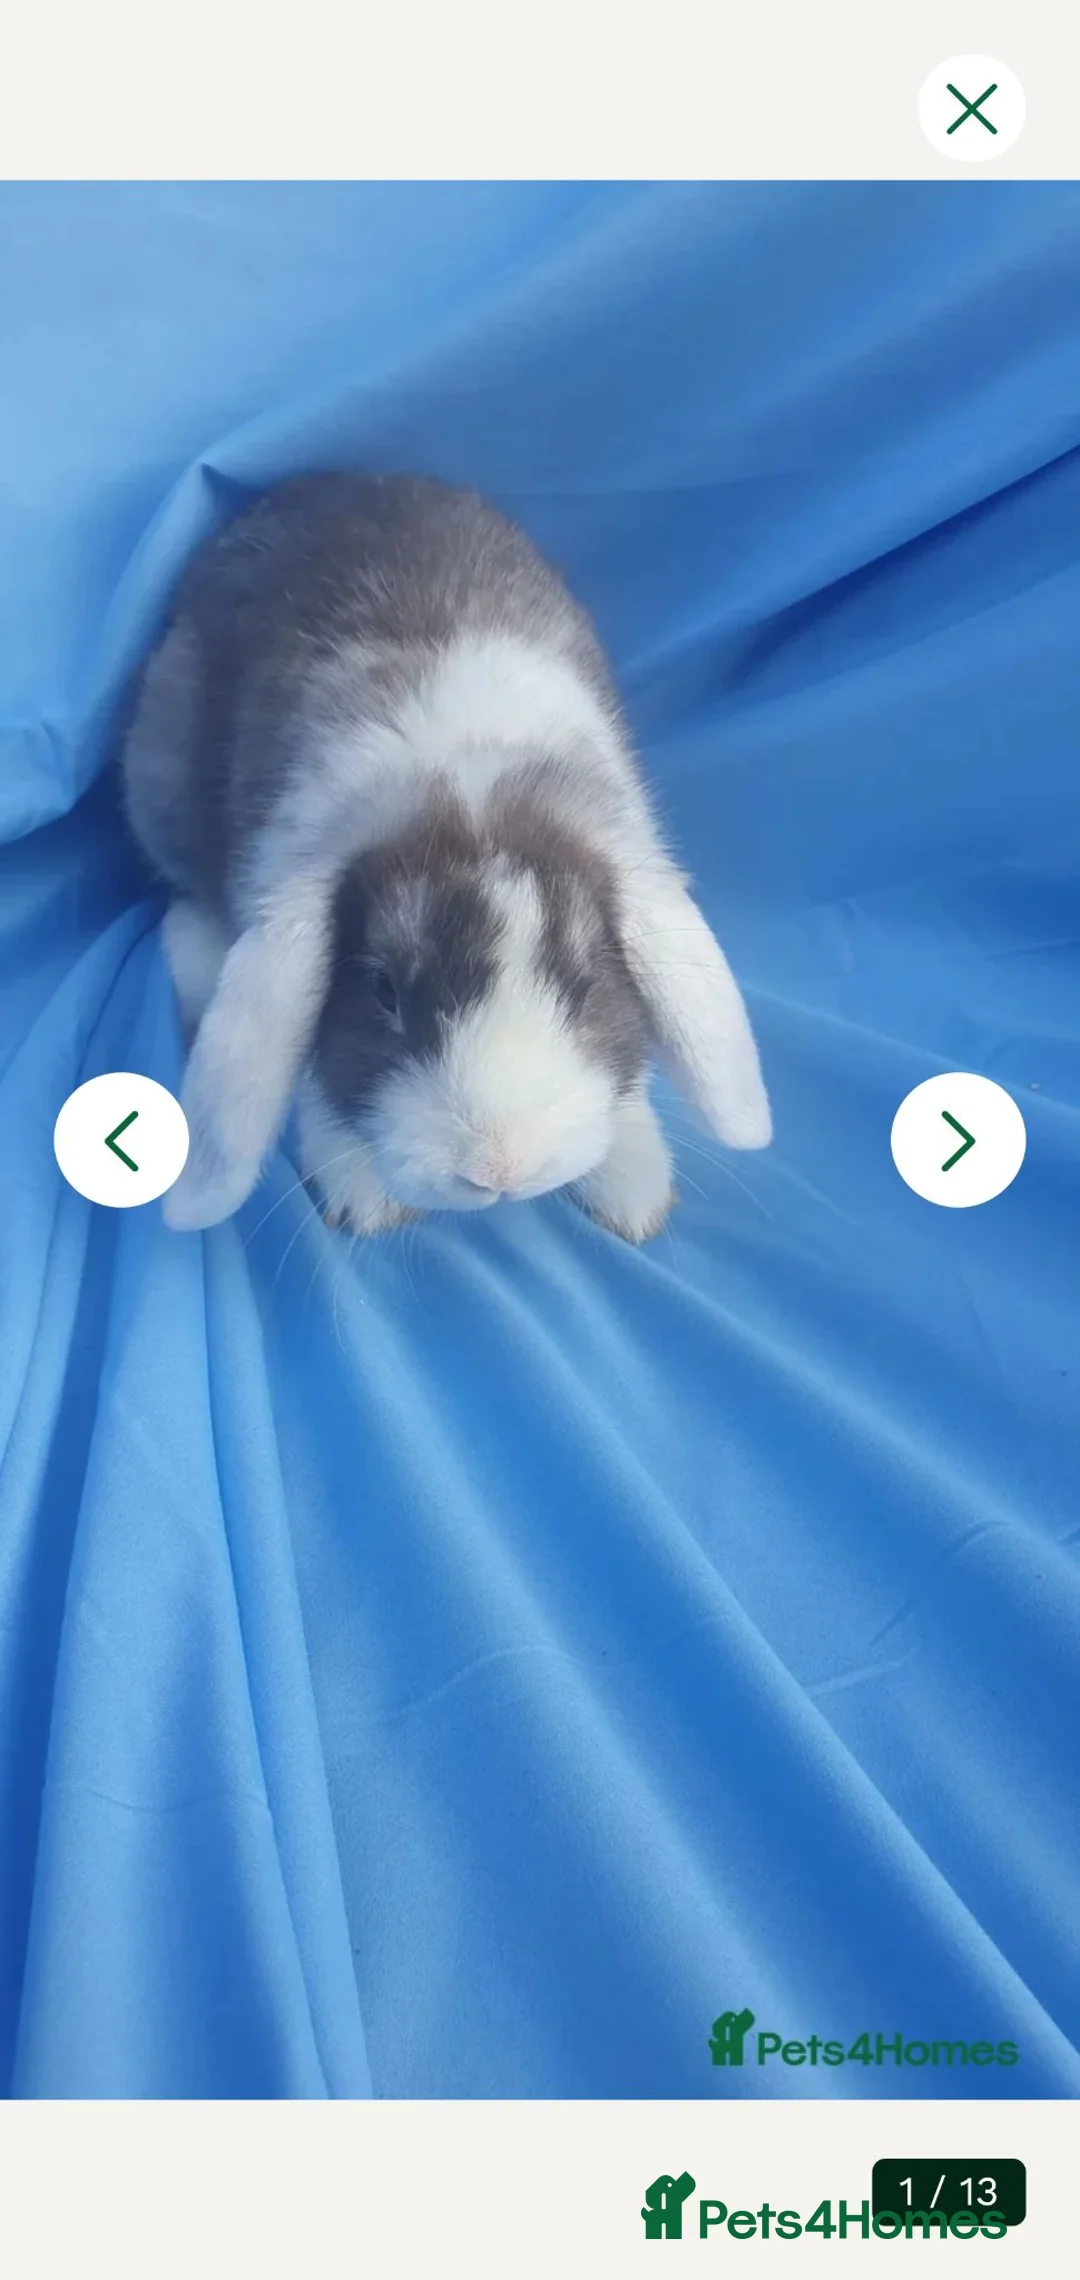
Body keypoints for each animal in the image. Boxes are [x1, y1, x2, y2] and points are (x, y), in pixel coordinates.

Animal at [121, 471, 771, 1241]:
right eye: (384, 991)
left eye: (584, 986)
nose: (499, 1171)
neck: (467, 787)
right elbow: (307, 1064)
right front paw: (362, 1193)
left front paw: (634, 1186)